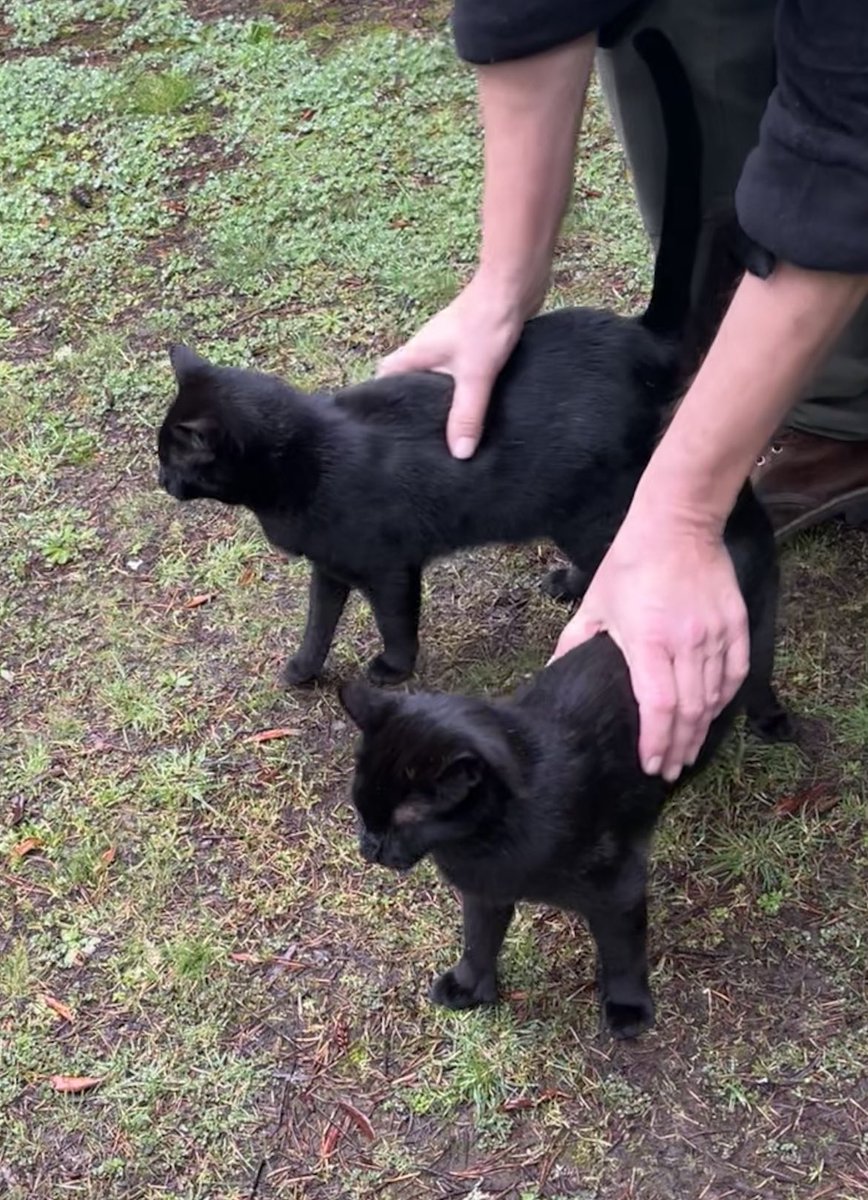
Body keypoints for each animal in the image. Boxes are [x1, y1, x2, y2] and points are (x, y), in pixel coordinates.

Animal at [159, 30, 710, 686]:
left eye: (170, 457)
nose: (160, 480)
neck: (300, 461)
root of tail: (637, 339)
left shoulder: (388, 565)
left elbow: (397, 623)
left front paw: (389, 671)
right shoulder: (330, 565)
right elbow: (318, 620)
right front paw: (302, 669)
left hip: (588, 506)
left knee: (614, 555)